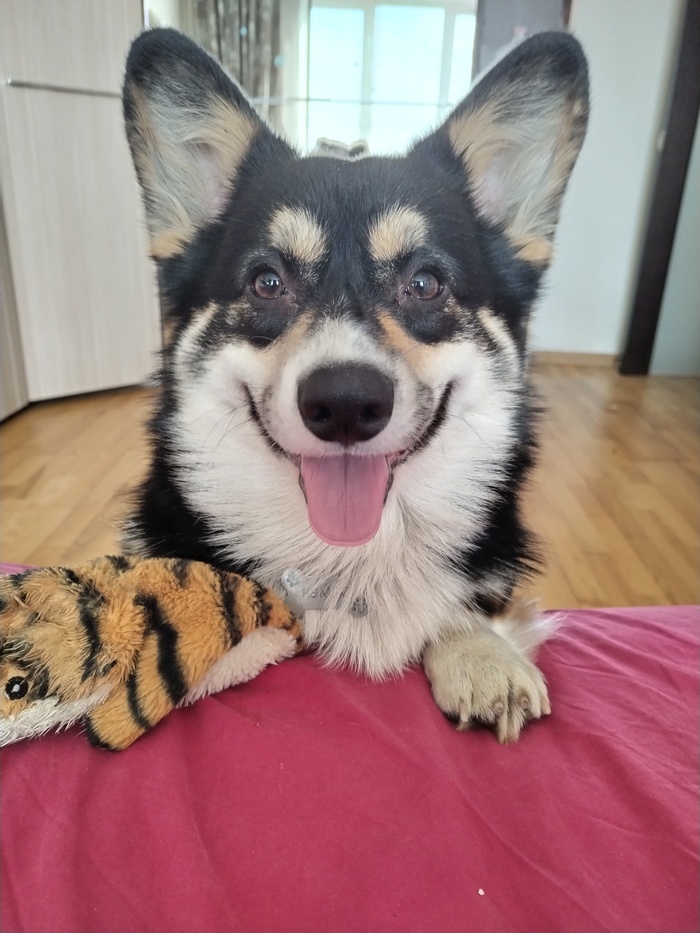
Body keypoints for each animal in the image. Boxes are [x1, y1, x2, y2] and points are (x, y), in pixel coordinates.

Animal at [120, 28, 589, 742]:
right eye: (267, 282)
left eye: (426, 282)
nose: (345, 404)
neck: (349, 555)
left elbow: (465, 605)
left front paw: (483, 655)